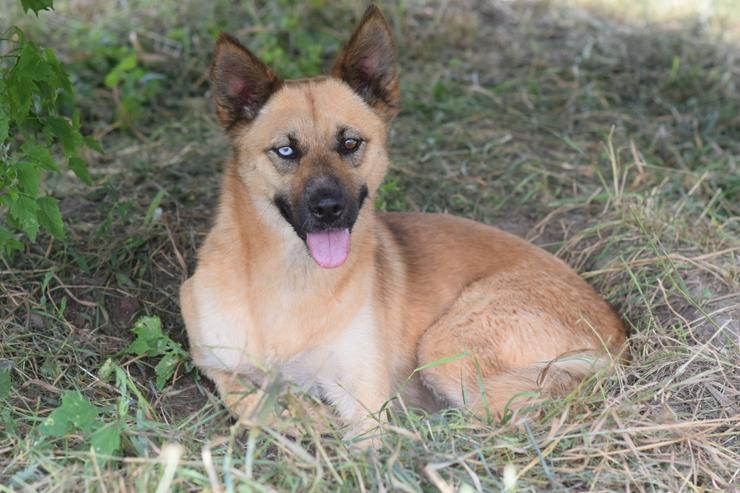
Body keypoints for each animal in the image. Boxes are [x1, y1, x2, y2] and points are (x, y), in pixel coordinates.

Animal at [179, 4, 624, 442]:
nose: (329, 208)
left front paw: (305, 412)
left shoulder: (365, 407)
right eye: (286, 151)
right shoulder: (212, 359)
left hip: (445, 346)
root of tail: (618, 331)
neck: (289, 280)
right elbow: (244, 397)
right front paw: (296, 410)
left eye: (350, 143)